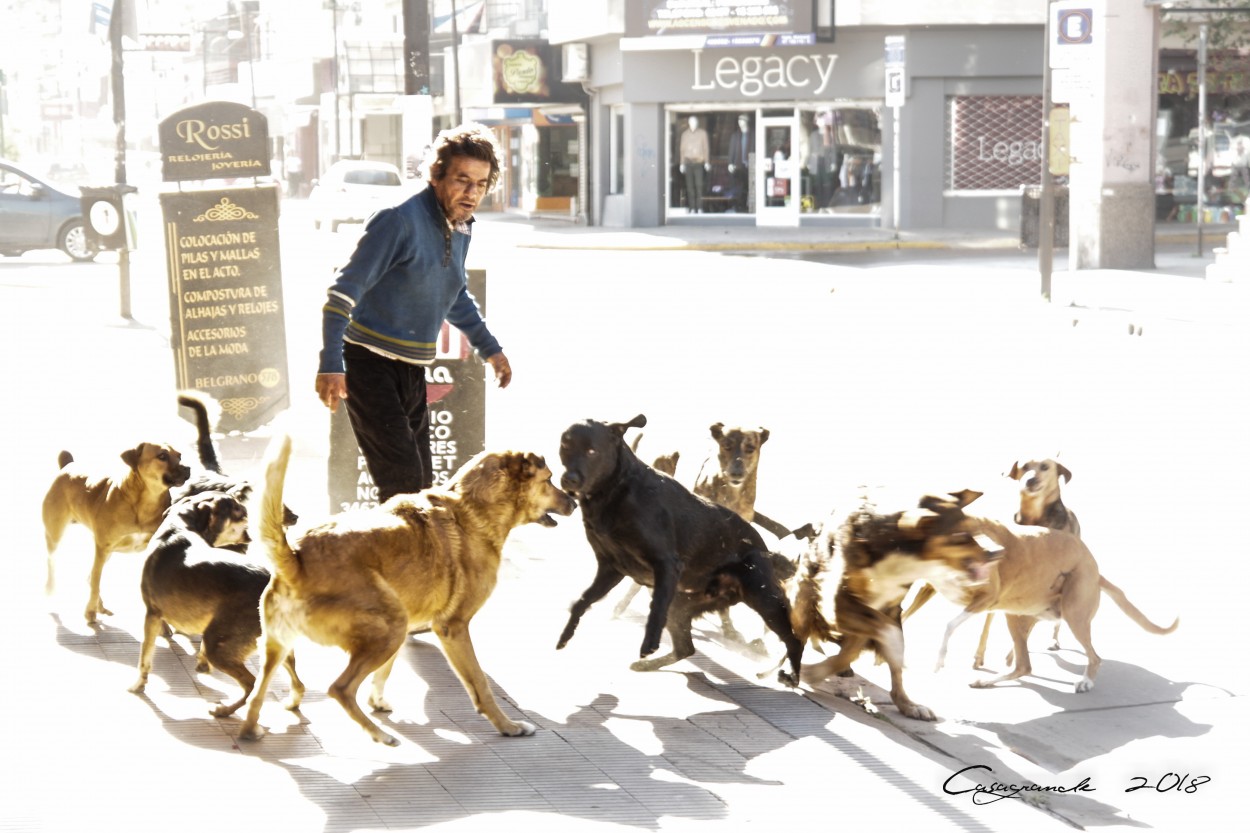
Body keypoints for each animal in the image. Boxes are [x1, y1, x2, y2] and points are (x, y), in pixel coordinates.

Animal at [41, 445, 190, 620]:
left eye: (179, 456)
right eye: (162, 456)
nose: (188, 468)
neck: (144, 503)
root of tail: (67, 466)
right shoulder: (102, 548)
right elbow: (96, 582)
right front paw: (90, 611)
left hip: (107, 553)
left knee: (89, 576)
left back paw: (100, 606)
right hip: (56, 535)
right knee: (55, 562)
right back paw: (52, 589)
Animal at [238, 435, 575, 745]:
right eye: (549, 480)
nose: (574, 502)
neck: (472, 508)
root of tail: (296, 559)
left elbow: (385, 671)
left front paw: (378, 701)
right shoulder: (453, 627)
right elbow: (480, 683)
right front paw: (508, 726)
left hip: (285, 645)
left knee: (258, 693)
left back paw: (251, 729)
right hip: (391, 625)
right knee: (340, 688)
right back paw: (379, 735)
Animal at [555, 412, 800, 685]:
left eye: (591, 450)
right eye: (565, 446)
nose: (569, 479)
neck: (617, 490)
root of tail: (767, 551)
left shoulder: (666, 564)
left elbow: (657, 606)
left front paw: (650, 641)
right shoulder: (611, 569)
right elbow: (581, 602)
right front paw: (566, 635)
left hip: (764, 599)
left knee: (794, 640)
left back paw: (791, 673)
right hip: (683, 605)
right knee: (686, 648)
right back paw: (647, 665)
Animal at [930, 520, 1180, 685]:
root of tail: (1096, 573)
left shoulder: (986, 598)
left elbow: (949, 625)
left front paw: (939, 660)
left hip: (1073, 616)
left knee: (1092, 657)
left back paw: (1086, 682)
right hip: (1022, 614)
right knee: (1024, 662)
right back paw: (992, 675)